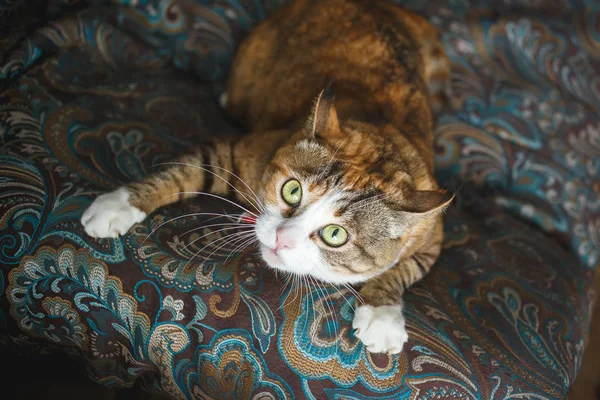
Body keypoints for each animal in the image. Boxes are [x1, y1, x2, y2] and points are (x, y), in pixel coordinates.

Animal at [82, 0, 452, 356]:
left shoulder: (430, 231)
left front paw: (383, 314)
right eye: (292, 191)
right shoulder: (242, 152)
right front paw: (119, 205)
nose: (281, 238)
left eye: (335, 234)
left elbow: (406, 268)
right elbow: (184, 172)